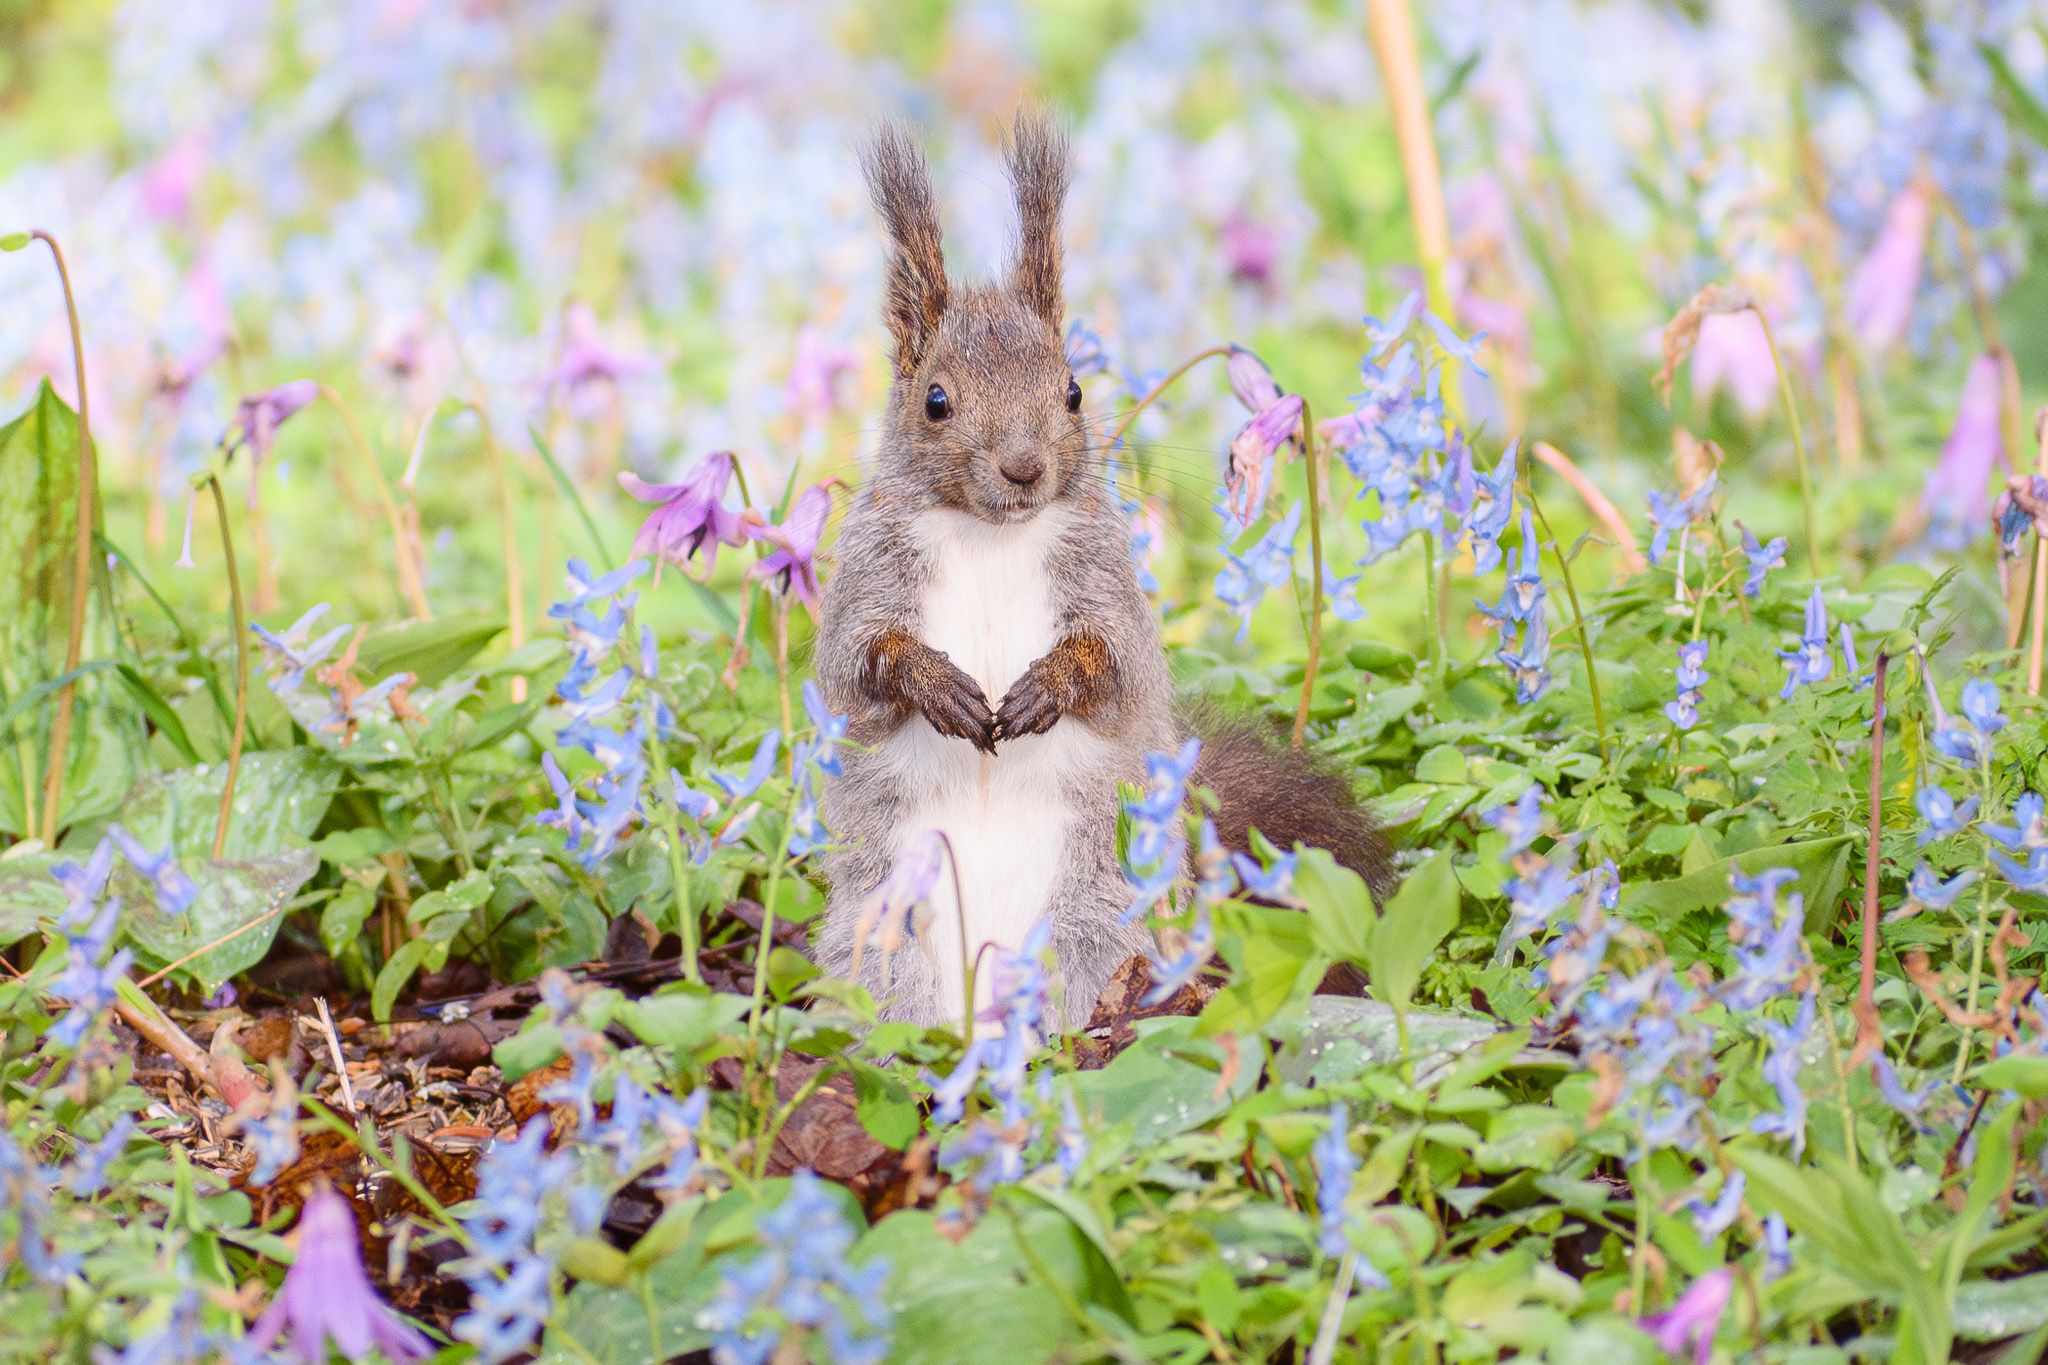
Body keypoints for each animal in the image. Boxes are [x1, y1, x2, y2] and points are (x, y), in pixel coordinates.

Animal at [813, 115, 1394, 1031]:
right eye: (936, 400)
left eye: (1074, 391)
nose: (1024, 469)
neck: (989, 532)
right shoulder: (867, 574)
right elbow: (856, 667)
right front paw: (934, 682)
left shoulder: (1106, 574)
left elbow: (1120, 666)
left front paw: (1052, 684)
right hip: (887, 935)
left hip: (1097, 916)